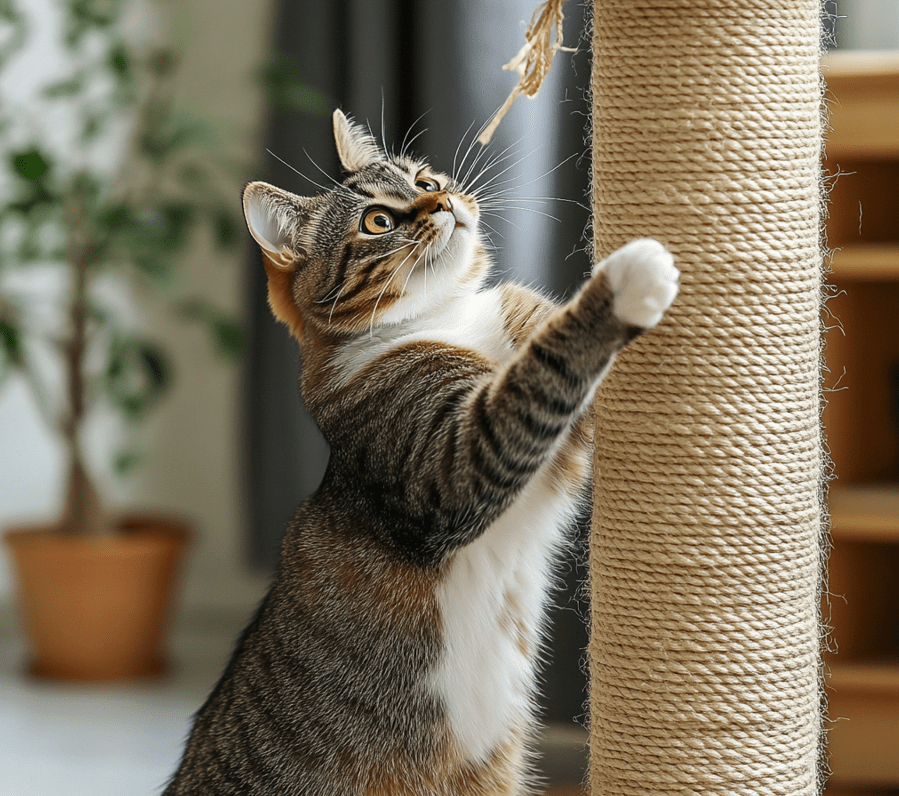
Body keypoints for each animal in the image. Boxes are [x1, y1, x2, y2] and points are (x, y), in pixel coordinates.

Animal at [165, 107, 680, 796]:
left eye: (425, 179)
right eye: (378, 222)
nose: (443, 201)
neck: (450, 317)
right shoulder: (448, 466)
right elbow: (540, 372)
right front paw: (626, 281)